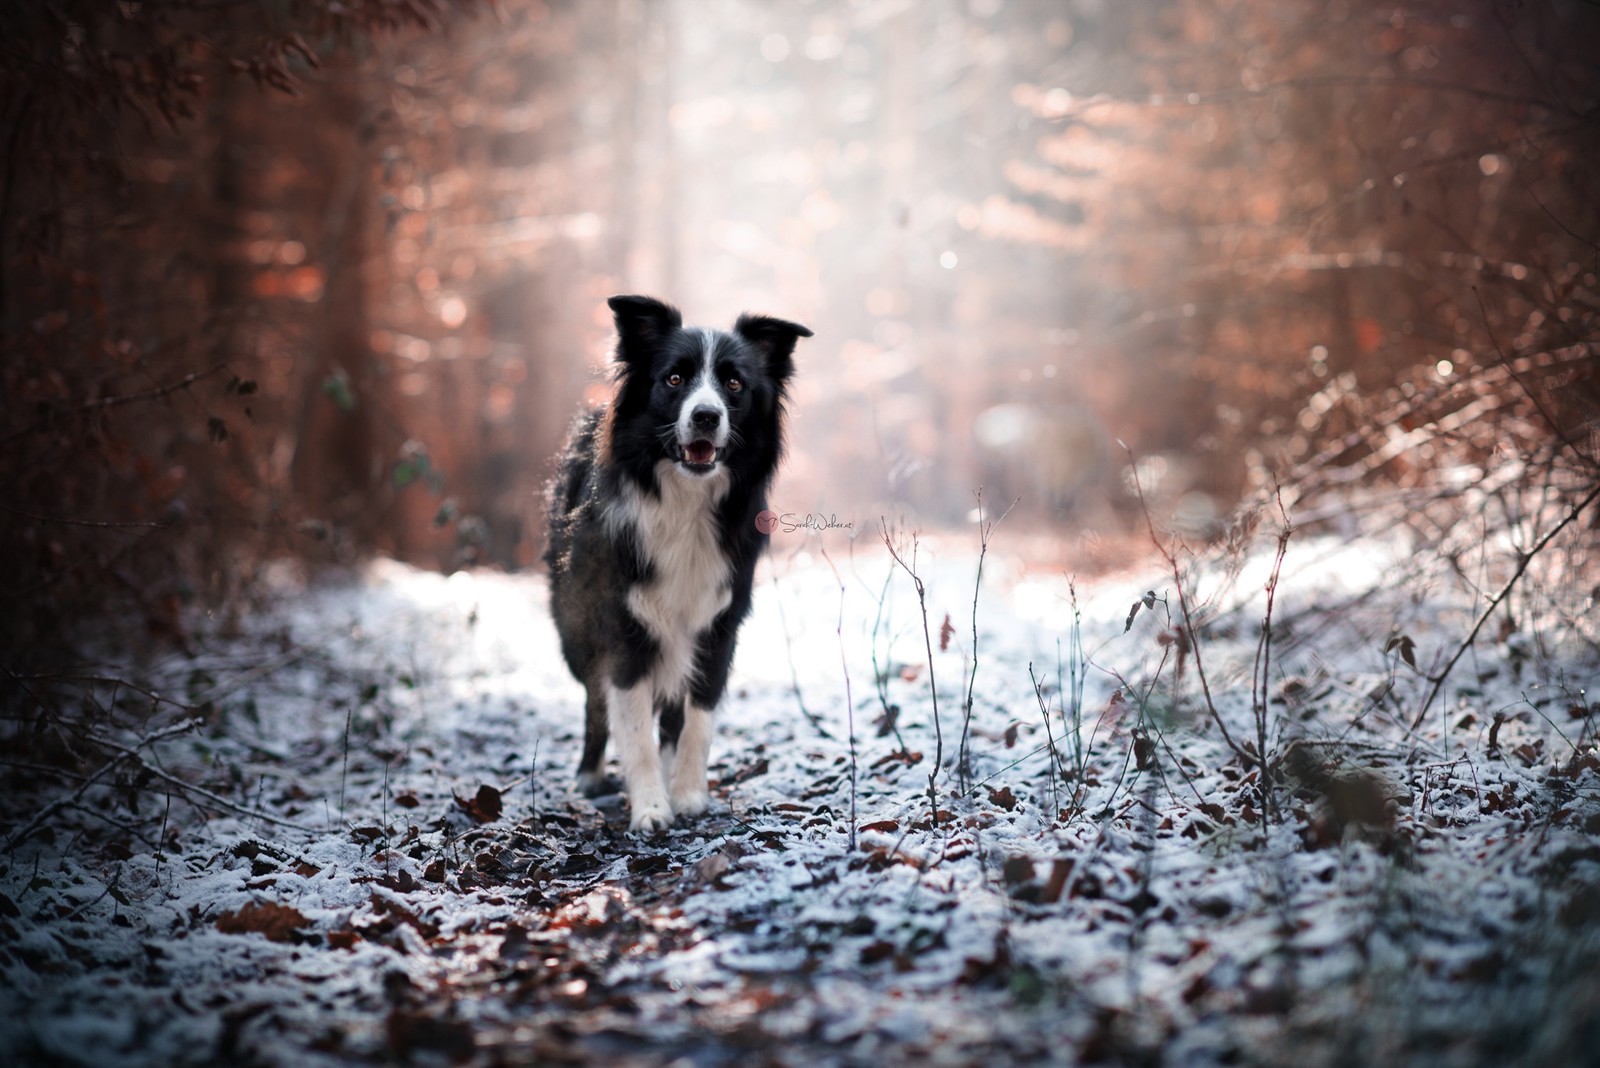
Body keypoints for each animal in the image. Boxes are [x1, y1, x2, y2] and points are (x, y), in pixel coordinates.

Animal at [544, 294, 812, 831]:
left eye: (734, 383)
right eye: (673, 379)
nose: (706, 415)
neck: (686, 499)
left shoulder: (718, 624)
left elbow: (697, 719)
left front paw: (686, 793)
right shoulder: (623, 625)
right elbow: (629, 722)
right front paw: (650, 808)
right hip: (576, 628)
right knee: (594, 699)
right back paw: (590, 774)